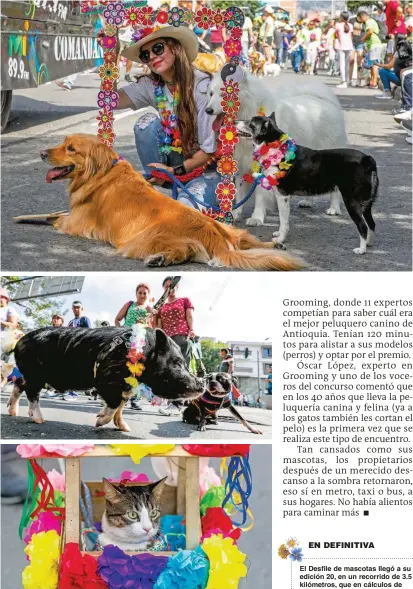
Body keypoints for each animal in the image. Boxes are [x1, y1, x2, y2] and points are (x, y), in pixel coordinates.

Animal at [7, 326, 204, 432]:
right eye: (177, 364)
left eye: (185, 364)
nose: (202, 382)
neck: (143, 354)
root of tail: (19, 341)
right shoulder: (107, 379)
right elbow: (115, 403)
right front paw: (98, 422)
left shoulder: (126, 385)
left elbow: (121, 406)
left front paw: (125, 428)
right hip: (36, 373)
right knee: (31, 392)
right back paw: (39, 420)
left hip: (30, 374)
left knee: (19, 383)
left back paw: (13, 412)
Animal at [237, 113, 378, 254]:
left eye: (250, 123)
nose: (235, 121)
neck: (274, 147)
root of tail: (367, 159)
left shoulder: (282, 196)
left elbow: (283, 222)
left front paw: (280, 239)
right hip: (366, 204)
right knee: (371, 224)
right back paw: (369, 243)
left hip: (352, 201)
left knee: (363, 226)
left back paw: (361, 249)